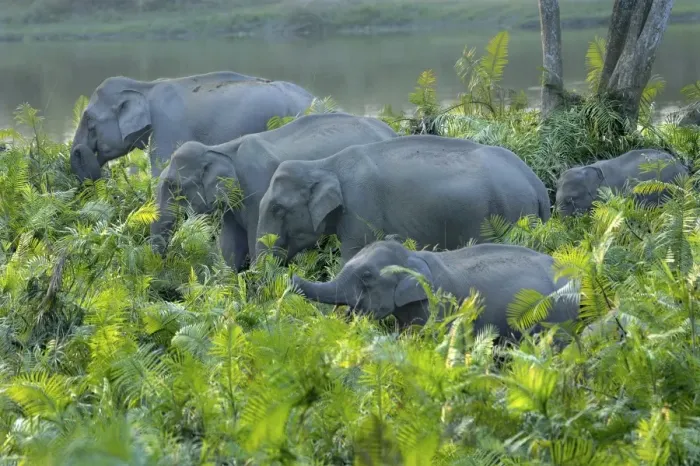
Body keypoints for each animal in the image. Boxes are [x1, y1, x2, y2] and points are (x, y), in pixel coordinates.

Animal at [255, 135, 552, 264]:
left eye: (278, 209)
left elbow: (353, 256)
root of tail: (535, 182)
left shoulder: (361, 209)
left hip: (511, 213)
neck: (325, 164)